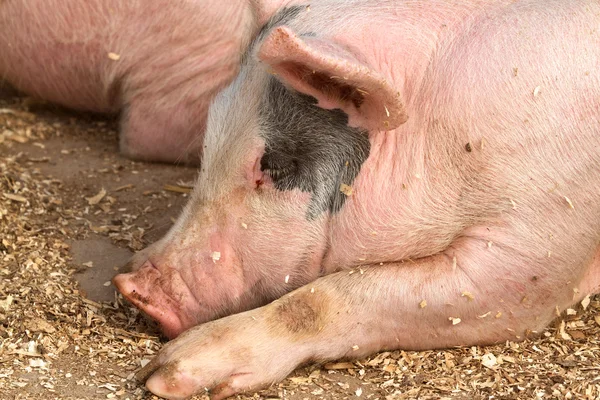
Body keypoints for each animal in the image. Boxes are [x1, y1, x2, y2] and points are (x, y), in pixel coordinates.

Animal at [111, 0, 600, 396]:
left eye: (272, 164)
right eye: (208, 135)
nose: (133, 287)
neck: (448, 141)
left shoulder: (538, 242)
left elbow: (323, 298)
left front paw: (165, 374)